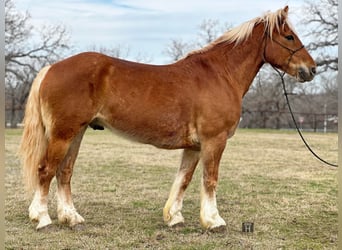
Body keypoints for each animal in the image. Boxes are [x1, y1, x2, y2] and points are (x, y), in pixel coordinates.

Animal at [18, 5, 316, 231]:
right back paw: (42, 219)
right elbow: (210, 179)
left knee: (64, 172)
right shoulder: (214, 141)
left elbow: (183, 179)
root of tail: (51, 68)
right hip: (63, 134)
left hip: (76, 133)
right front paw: (214, 221)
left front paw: (174, 217)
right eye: (289, 36)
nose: (312, 69)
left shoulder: (194, 146)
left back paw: (71, 218)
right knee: (46, 170)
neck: (220, 74)